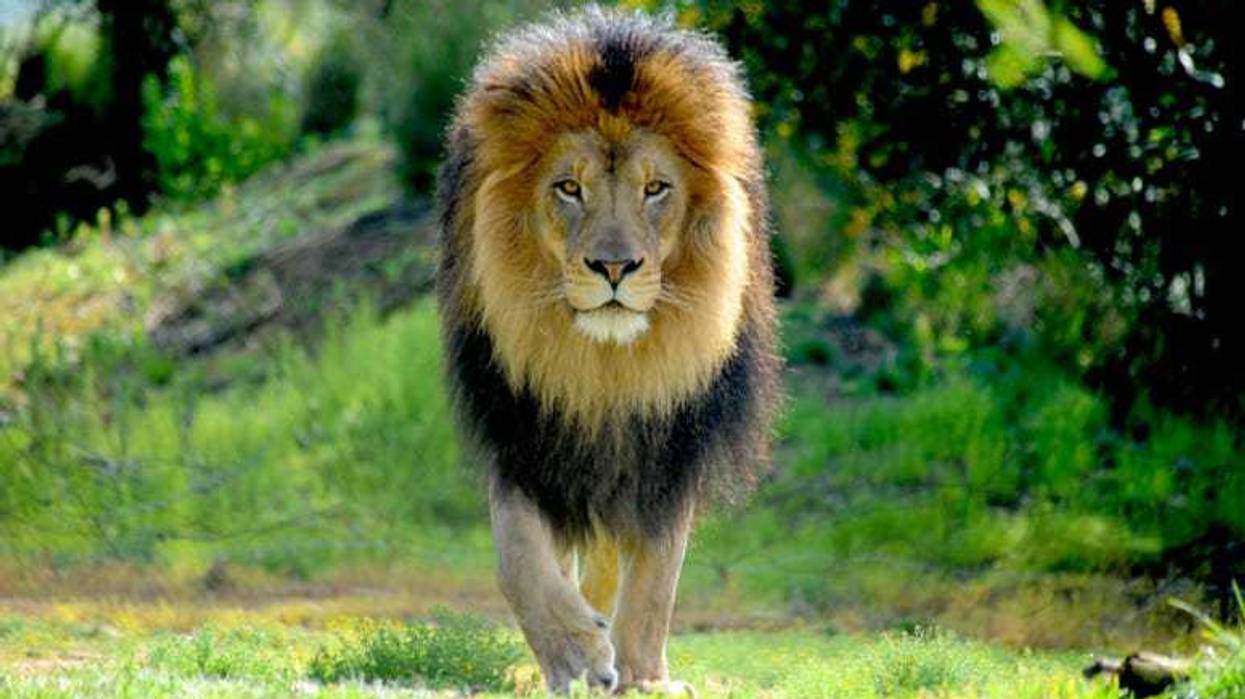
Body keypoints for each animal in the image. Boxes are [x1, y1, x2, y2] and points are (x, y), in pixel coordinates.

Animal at [436, 7, 781, 694]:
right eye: (569, 187)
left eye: (656, 189)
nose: (614, 267)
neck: (605, 369)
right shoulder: (522, 427)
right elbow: (518, 554)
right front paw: (573, 652)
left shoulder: (673, 443)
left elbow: (655, 579)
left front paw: (644, 675)